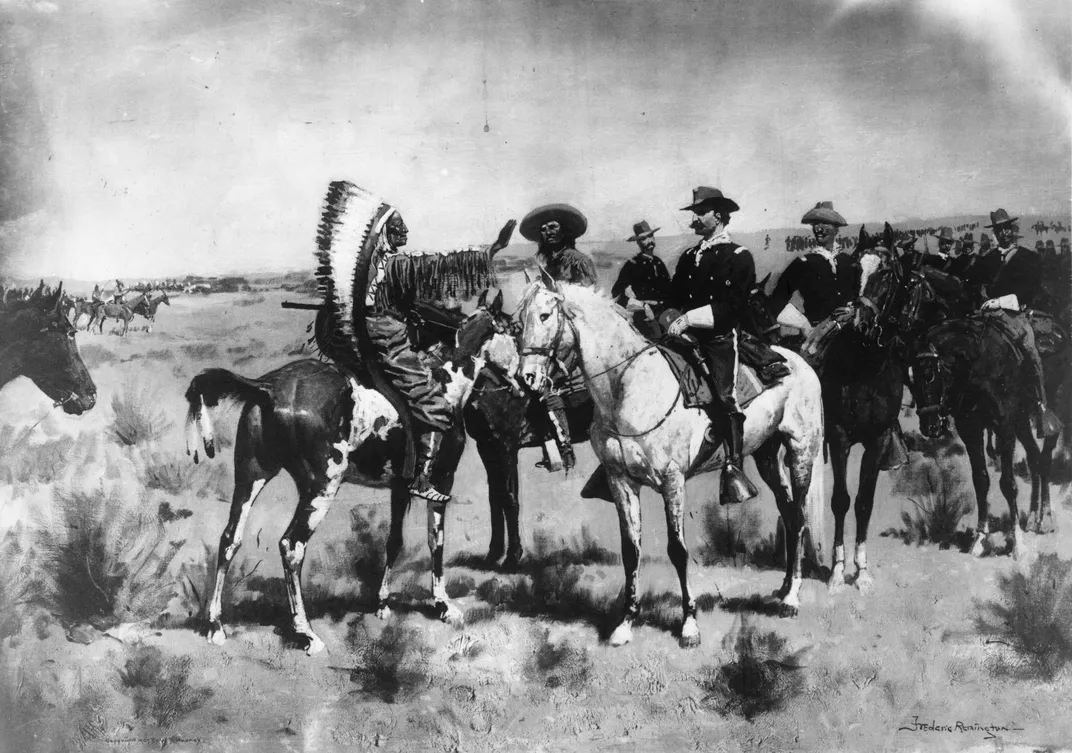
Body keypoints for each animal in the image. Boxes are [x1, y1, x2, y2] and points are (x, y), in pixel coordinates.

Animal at [184, 300, 510, 656]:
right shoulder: (442, 482)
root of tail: (267, 386)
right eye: (512, 329)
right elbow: (435, 542)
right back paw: (306, 632)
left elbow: (394, 542)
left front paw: (382, 604)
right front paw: (443, 605)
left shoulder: (400, 489)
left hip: (251, 477)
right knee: (291, 546)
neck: (445, 383)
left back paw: (215, 625)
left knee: (230, 539)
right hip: (321, 488)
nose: (523, 379)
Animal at [514, 276, 823, 647]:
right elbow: (630, 550)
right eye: (518, 322)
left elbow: (678, 549)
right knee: (790, 516)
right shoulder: (621, 482)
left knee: (800, 516)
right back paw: (784, 588)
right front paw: (625, 623)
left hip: (801, 451)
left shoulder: (672, 481)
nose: (525, 378)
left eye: (545, 315)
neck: (629, 387)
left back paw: (792, 598)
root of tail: (796, 362)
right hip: (766, 456)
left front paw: (689, 624)